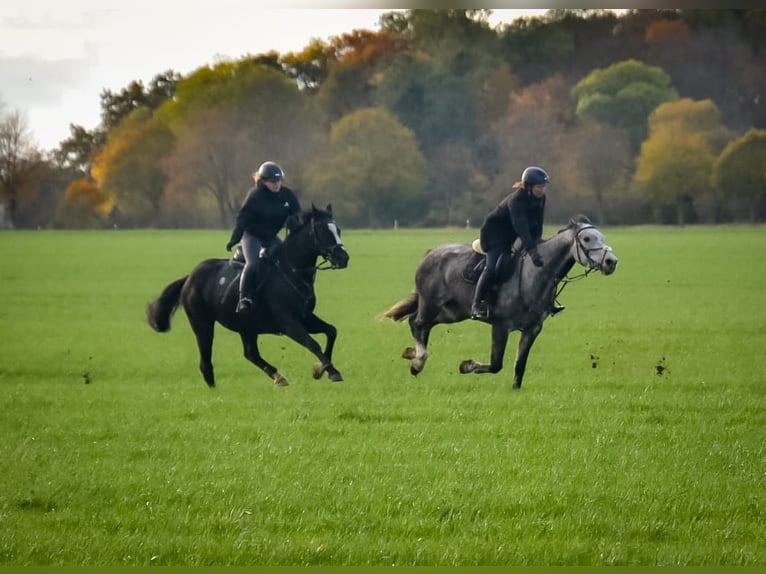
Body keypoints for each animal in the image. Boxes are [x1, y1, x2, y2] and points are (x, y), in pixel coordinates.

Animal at [147, 204, 349, 388]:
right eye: (324, 231)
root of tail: (189, 278)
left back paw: (278, 377)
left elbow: (331, 331)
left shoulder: (305, 318)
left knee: (250, 353)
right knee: (206, 359)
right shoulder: (288, 323)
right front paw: (330, 371)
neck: (291, 271)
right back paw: (213, 387)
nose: (343, 258)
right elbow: (312, 343)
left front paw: (321, 369)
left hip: (246, 326)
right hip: (202, 324)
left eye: (338, 230)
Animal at [383, 215, 618, 389]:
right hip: (432, 304)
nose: (611, 262)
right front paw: (467, 366)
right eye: (586, 239)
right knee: (417, 323)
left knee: (421, 324)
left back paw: (412, 355)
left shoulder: (532, 329)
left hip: (451, 312)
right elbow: (496, 364)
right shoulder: (501, 326)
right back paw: (417, 361)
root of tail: (430, 253)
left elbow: (519, 365)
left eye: (601, 237)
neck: (534, 274)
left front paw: (515, 389)